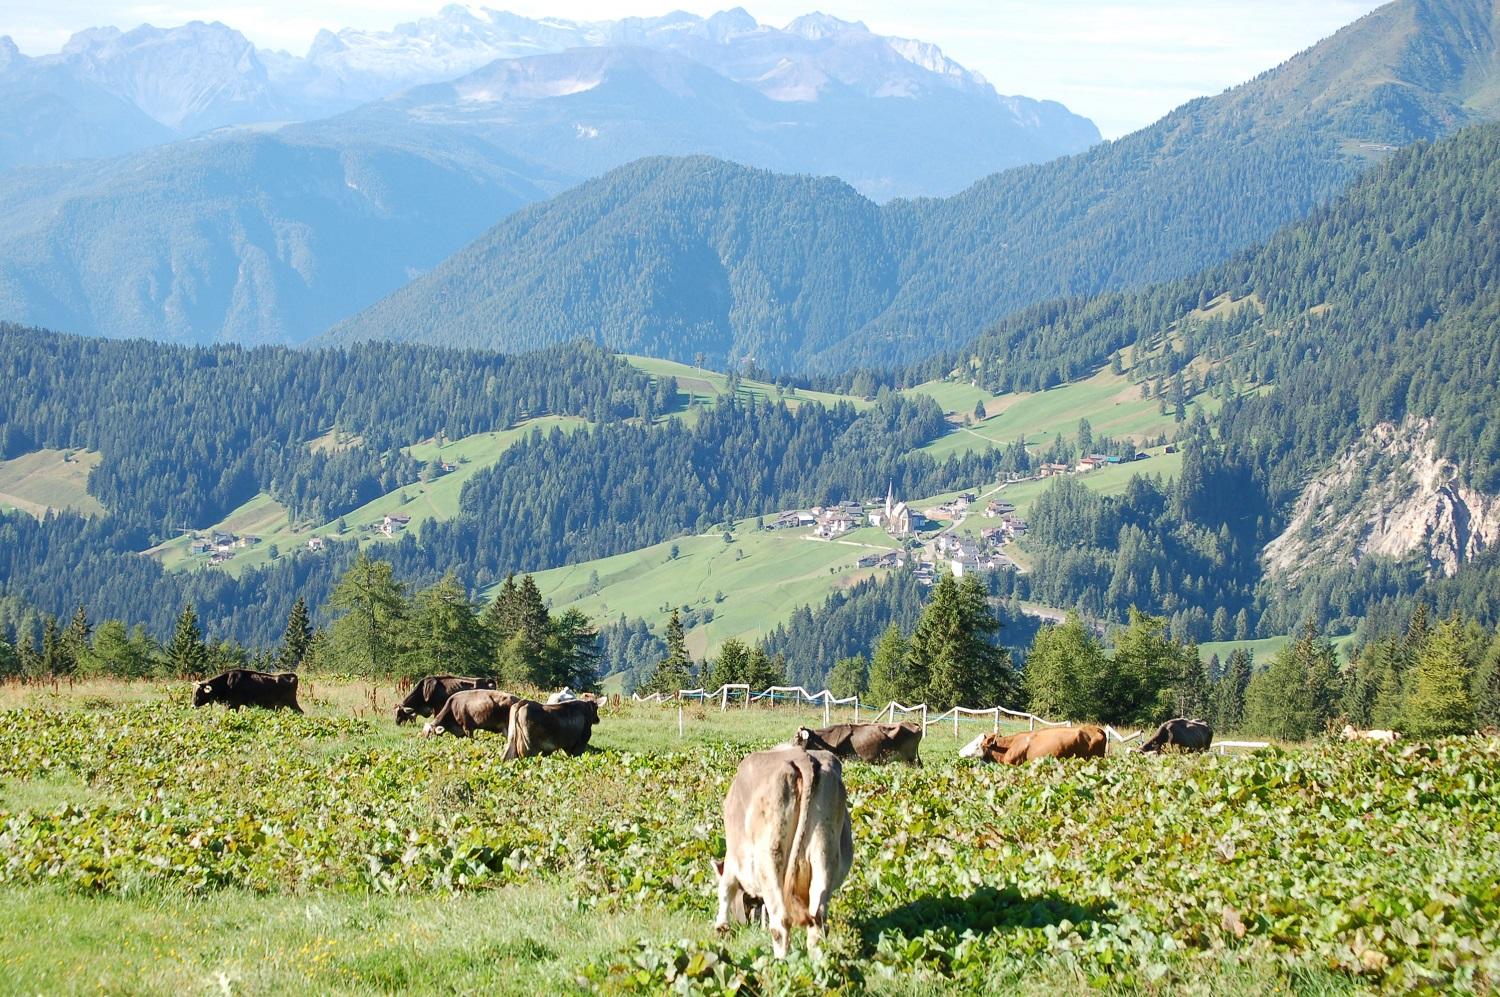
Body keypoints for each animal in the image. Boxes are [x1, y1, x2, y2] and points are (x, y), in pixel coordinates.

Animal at [717, 746, 858, 959]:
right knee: (818, 920)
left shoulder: (733, 860)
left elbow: (725, 888)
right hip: (824, 852)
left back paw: (780, 961)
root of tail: (802, 757)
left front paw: (721, 928)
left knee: (780, 923)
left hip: (770, 859)